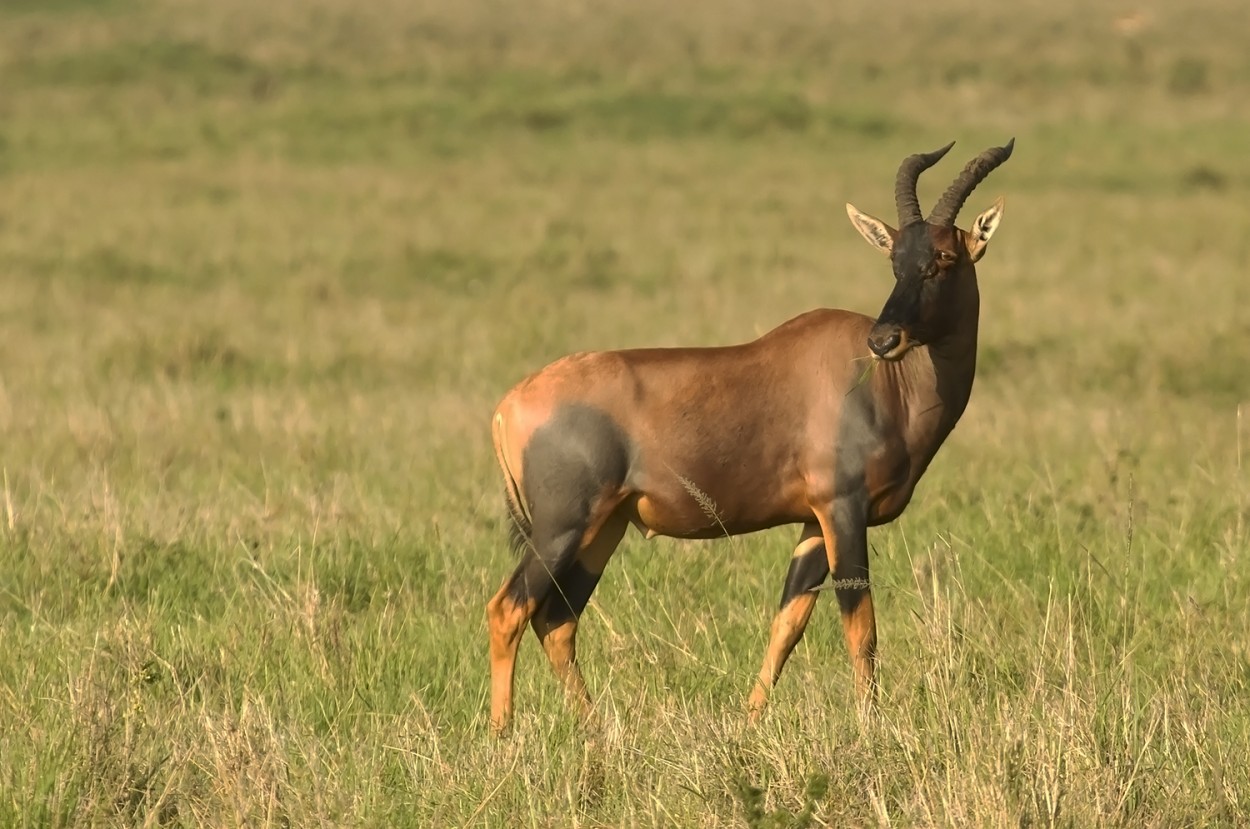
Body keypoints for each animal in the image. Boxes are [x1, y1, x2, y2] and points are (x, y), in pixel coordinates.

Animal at [487, 137, 1015, 735]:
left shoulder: (814, 522)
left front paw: (750, 720)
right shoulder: (844, 509)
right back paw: (503, 735)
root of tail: (509, 406)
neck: (882, 383)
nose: (885, 339)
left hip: (604, 529)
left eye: (943, 258)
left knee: (557, 620)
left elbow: (788, 624)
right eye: (894, 259)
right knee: (509, 610)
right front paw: (870, 727)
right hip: (562, 527)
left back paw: (600, 731)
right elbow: (861, 626)